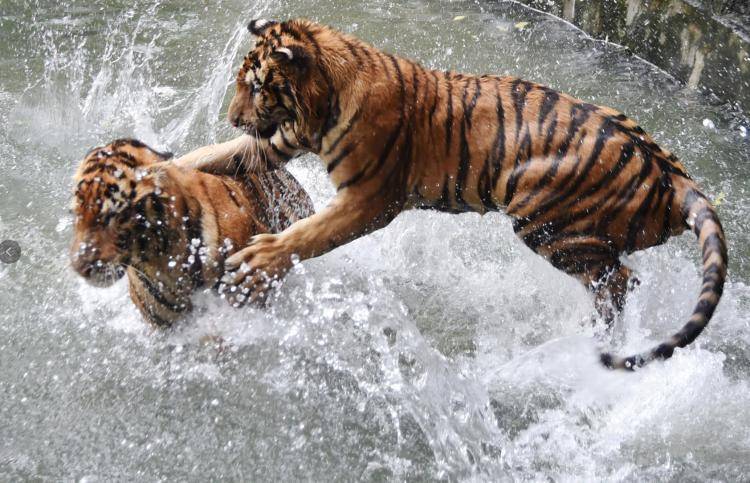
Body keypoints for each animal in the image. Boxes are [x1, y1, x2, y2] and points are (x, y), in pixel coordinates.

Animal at [172, 17, 728, 368]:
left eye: (257, 86)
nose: (233, 117)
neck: (321, 102)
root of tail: (672, 175)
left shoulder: (368, 202)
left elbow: (310, 234)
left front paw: (260, 259)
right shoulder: (276, 143)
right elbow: (210, 154)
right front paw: (162, 163)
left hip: (547, 225)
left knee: (620, 283)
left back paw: (589, 339)